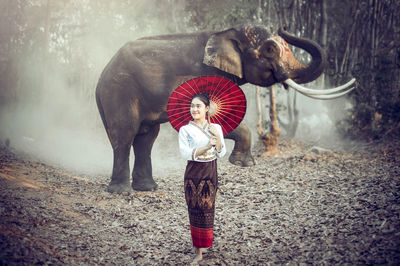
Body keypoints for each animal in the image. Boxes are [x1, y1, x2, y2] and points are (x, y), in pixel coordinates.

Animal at [96, 23, 354, 192]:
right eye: (270, 49)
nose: (284, 27)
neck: (227, 32)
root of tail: (101, 76)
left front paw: (243, 163)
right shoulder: (204, 77)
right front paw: (242, 164)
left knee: (146, 138)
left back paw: (148, 188)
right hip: (120, 91)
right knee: (126, 134)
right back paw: (122, 192)